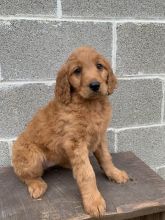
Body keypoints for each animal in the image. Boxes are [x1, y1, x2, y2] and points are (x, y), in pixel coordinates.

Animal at [12, 46, 129, 217]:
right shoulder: (76, 142)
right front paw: (94, 202)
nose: (95, 85)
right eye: (77, 70)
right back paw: (37, 185)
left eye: (99, 66)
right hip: (32, 157)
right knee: (24, 175)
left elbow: (106, 158)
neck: (91, 104)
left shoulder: (100, 137)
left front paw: (115, 174)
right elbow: (87, 173)